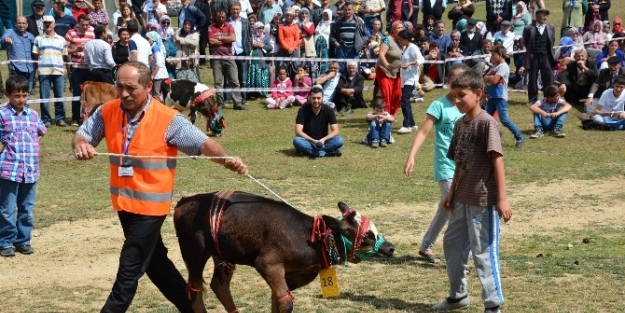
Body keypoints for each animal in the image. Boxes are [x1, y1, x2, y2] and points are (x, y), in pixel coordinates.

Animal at [173, 190, 392, 312]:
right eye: (367, 236)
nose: (390, 248)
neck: (312, 239)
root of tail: (183, 202)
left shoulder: (291, 275)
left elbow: (276, 302)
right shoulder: (269, 265)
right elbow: (285, 303)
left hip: (223, 254)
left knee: (219, 285)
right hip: (194, 253)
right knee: (194, 292)